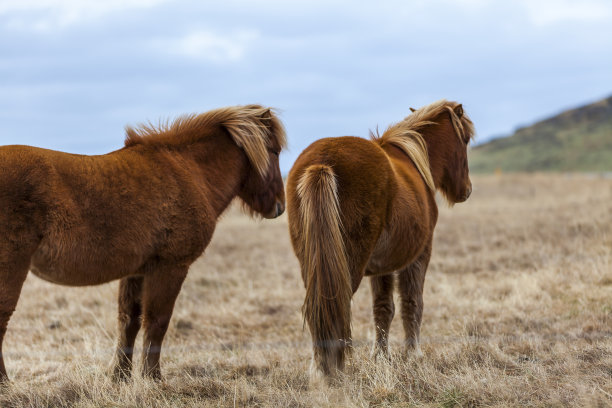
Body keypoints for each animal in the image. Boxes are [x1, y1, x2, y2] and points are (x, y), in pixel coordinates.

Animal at [0, 103, 286, 380]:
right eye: (274, 151)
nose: (280, 207)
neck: (187, 169)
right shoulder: (170, 267)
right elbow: (157, 322)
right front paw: (152, 377)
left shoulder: (136, 271)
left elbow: (129, 321)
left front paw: (121, 376)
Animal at [284, 99, 476, 376]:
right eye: (466, 139)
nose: (467, 190)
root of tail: (323, 162)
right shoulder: (418, 255)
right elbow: (412, 303)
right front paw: (413, 355)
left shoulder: (382, 265)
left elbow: (383, 308)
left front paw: (381, 357)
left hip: (311, 262)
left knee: (317, 309)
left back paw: (319, 369)